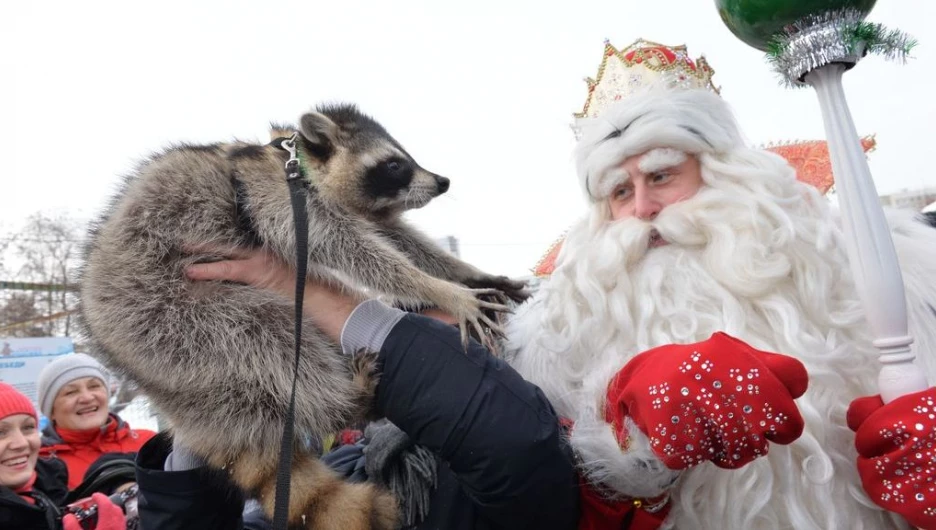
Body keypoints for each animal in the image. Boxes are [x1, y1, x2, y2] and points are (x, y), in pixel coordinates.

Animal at [80, 101, 528, 524]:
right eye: (394, 164)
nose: (442, 181)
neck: (301, 165)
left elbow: (399, 239)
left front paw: (463, 272)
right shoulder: (274, 196)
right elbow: (352, 249)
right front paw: (440, 289)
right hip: (160, 311)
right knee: (268, 335)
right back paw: (345, 402)